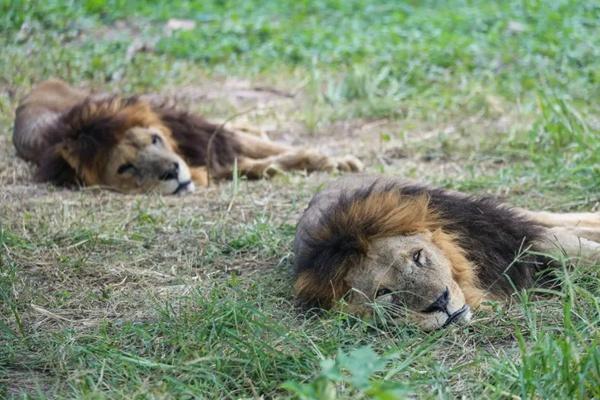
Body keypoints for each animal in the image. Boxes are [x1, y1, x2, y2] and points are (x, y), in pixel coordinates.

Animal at [12, 79, 360, 195]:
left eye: (155, 140)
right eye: (126, 168)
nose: (172, 172)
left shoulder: (209, 136)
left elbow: (271, 146)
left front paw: (338, 160)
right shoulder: (218, 159)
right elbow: (260, 162)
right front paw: (272, 167)